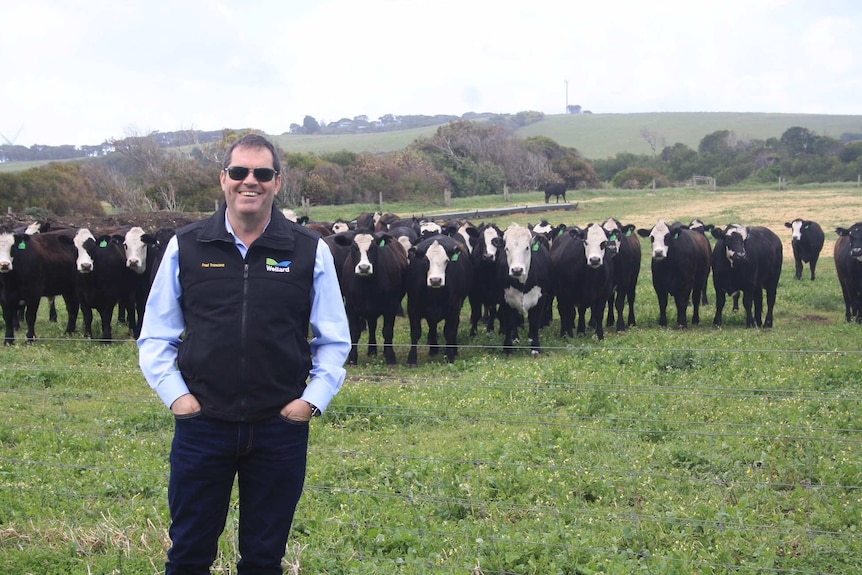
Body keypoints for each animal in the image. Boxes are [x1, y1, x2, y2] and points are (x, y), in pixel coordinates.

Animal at [334, 230, 408, 364]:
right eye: (354, 247)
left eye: (373, 248)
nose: (364, 267)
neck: (367, 284)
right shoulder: (350, 306)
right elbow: (354, 332)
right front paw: (352, 359)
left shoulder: (391, 305)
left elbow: (387, 331)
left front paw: (391, 357)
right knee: (372, 326)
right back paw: (372, 350)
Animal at [404, 233, 472, 364]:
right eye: (426, 260)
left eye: (446, 261)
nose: (435, 280)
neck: (434, 295)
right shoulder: (413, 306)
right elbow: (415, 332)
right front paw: (412, 359)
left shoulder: (454, 307)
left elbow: (450, 331)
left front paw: (449, 356)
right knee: (432, 325)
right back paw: (433, 349)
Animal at [492, 223, 552, 354]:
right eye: (506, 248)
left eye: (527, 248)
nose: (517, 270)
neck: (522, 283)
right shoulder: (505, 299)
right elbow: (510, 322)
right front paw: (507, 348)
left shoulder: (540, 298)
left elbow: (534, 322)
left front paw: (535, 347)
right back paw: (515, 338)